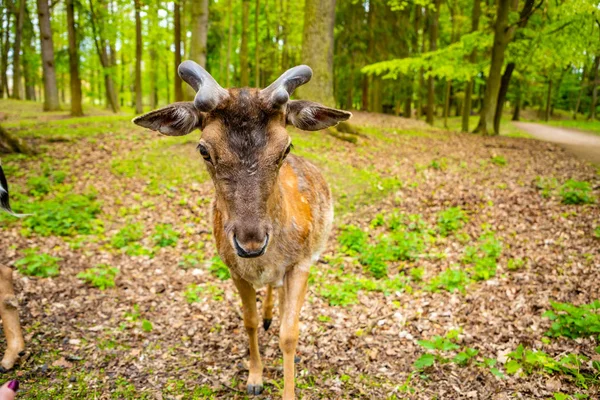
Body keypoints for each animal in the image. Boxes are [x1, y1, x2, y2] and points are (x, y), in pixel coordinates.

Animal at [135, 61, 352, 398]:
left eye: (285, 148)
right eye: (203, 150)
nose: (251, 243)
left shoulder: (302, 263)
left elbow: (290, 333)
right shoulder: (234, 268)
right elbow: (248, 321)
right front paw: (254, 378)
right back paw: (267, 316)